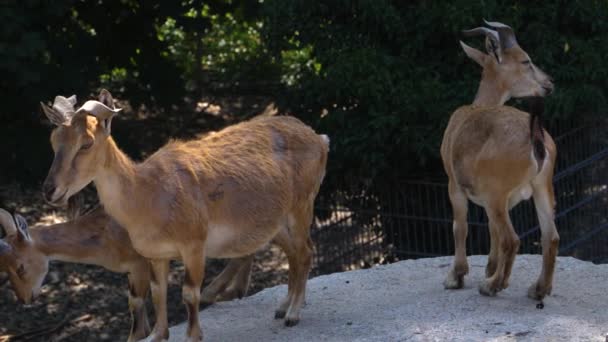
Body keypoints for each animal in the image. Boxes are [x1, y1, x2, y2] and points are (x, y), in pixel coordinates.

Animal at [0, 207, 154, 340]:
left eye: (20, 268)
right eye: (4, 268)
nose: (23, 299)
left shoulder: (140, 264)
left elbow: (138, 318)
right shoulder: (132, 272)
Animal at [40, 91, 330, 342]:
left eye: (86, 143)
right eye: (53, 141)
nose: (50, 190)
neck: (148, 194)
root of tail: (320, 139)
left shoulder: (194, 245)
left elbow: (190, 293)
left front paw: (193, 335)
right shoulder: (156, 254)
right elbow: (158, 292)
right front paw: (158, 334)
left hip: (302, 206)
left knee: (305, 251)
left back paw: (293, 314)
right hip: (276, 222)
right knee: (295, 253)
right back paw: (284, 306)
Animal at [440, 20, 560, 300]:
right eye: (526, 60)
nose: (549, 83)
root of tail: (535, 138)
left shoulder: (455, 185)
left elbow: (460, 227)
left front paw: (456, 276)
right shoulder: (495, 200)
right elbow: (490, 230)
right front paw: (490, 267)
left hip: (497, 192)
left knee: (512, 239)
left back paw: (493, 286)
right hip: (542, 186)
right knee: (550, 236)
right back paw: (538, 289)